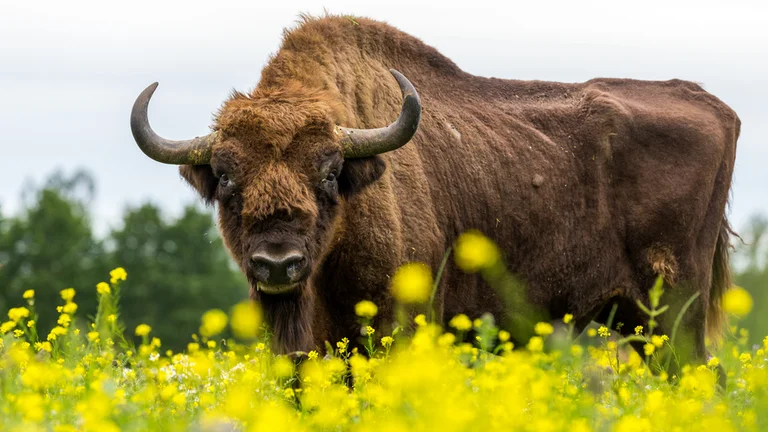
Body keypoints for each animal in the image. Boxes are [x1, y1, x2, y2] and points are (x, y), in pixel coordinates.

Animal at [130, 15, 739, 372]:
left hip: (674, 312)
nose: (278, 263)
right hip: (637, 319)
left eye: (329, 173)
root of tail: (715, 107)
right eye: (226, 176)